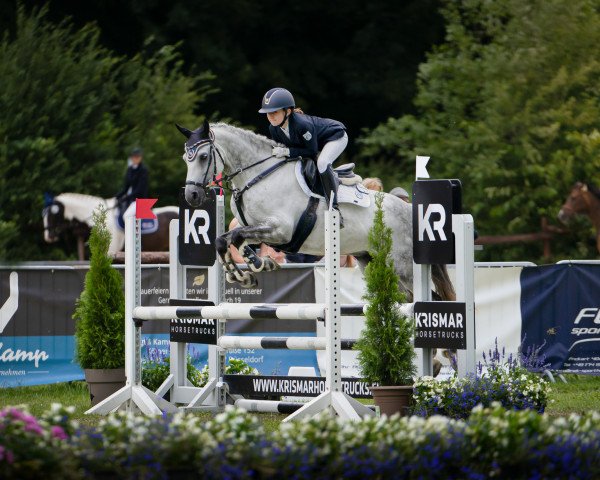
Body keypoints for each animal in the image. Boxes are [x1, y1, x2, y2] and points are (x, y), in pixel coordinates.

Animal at [176, 119, 452, 300]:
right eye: (185, 159)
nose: (192, 196)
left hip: (404, 267)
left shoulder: (280, 230)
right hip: (370, 260)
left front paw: (249, 270)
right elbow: (227, 240)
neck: (258, 175)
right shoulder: (254, 227)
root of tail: (409, 211)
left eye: (203, 157)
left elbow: (233, 238)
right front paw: (248, 272)